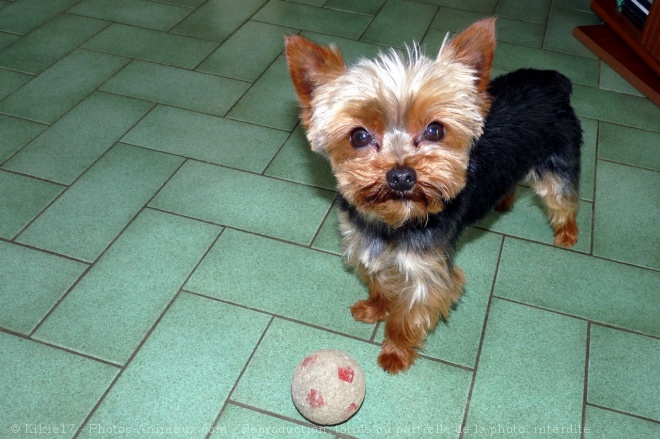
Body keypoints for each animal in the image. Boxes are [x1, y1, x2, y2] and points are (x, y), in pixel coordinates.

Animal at [286, 18, 580, 372]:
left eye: (435, 130)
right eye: (358, 136)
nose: (401, 176)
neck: (394, 222)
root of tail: (554, 81)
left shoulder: (428, 274)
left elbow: (408, 315)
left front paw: (395, 353)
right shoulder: (365, 244)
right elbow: (379, 283)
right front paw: (375, 308)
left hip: (556, 166)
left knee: (563, 201)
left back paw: (566, 235)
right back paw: (504, 201)